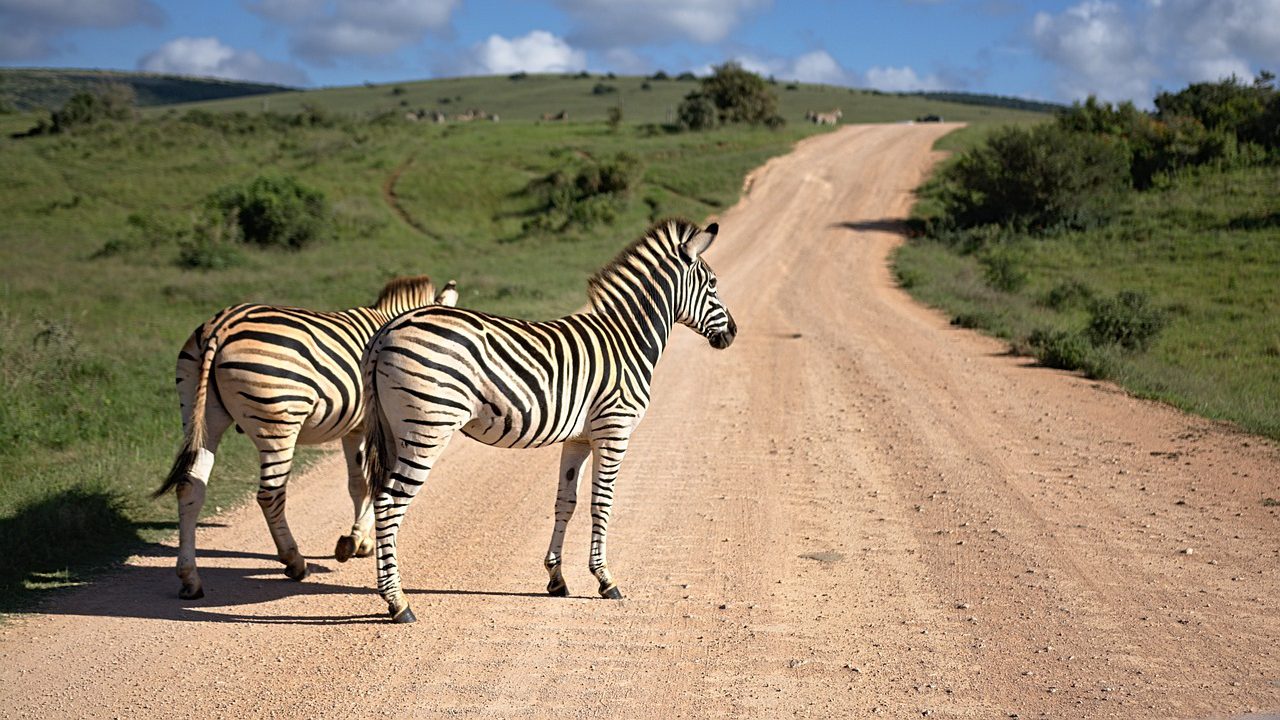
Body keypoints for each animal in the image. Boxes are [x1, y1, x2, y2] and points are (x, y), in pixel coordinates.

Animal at [156, 271, 460, 597]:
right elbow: (373, 483)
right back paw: (294, 561)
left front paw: (358, 541)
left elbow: (358, 484)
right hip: (278, 421)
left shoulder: (355, 428)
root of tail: (221, 325)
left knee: (190, 487)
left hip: (200, 415)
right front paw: (356, 540)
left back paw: (190, 578)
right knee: (270, 494)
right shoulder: (373, 426)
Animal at [366, 215, 737, 620]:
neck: (627, 340)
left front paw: (556, 579)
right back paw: (398, 602)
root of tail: (387, 330)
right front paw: (605, 580)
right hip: (427, 430)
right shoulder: (614, 430)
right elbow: (602, 502)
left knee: (380, 498)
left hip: (395, 430)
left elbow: (566, 502)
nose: (733, 333)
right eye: (713, 284)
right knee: (389, 503)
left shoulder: (578, 439)